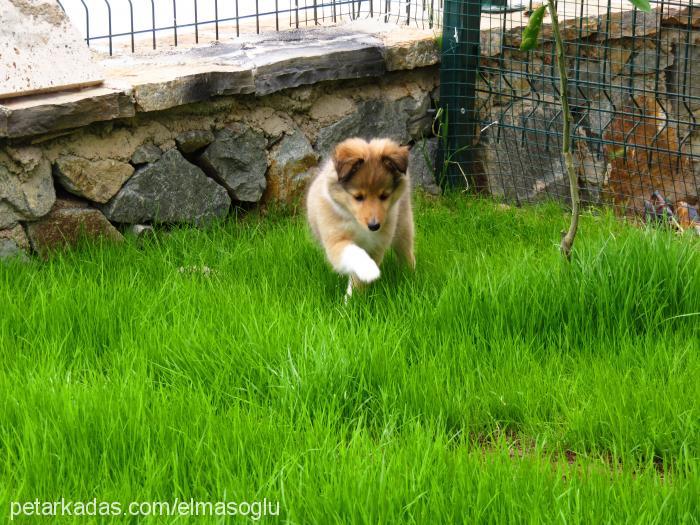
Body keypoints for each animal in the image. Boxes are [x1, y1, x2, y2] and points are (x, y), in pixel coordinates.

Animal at [308, 137, 416, 296]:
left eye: (384, 196)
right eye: (358, 197)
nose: (374, 226)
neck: (358, 225)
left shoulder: (377, 244)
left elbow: (358, 281)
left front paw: (354, 297)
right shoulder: (335, 240)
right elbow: (353, 252)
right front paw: (368, 270)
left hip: (403, 224)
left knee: (406, 251)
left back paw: (410, 275)